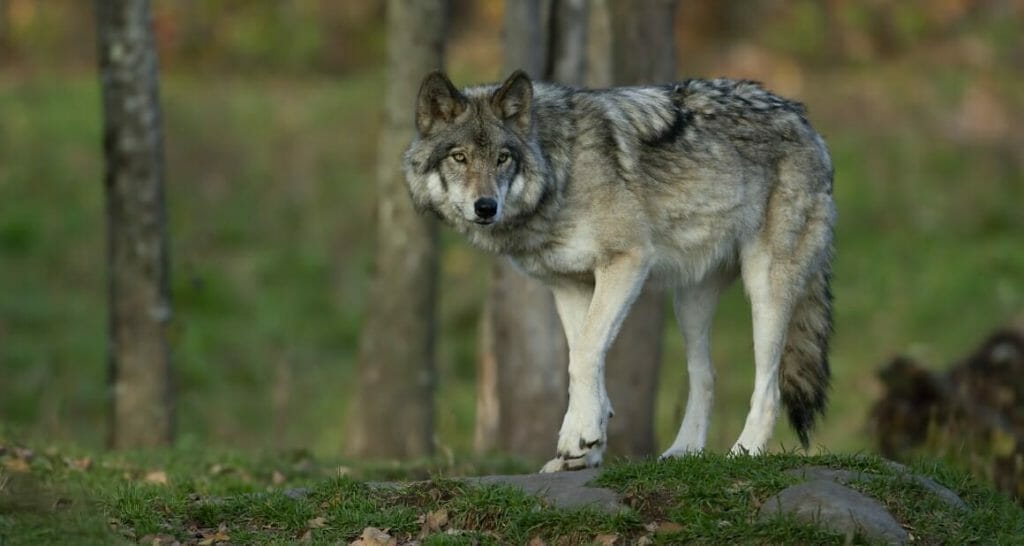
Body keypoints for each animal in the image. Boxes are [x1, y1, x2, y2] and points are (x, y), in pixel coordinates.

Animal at [403, 68, 835, 471]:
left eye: (502, 158)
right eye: (459, 157)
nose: (486, 207)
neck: (561, 171)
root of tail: (804, 119)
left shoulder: (628, 262)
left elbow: (584, 355)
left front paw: (577, 436)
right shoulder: (570, 285)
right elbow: (584, 357)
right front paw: (585, 447)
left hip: (765, 290)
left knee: (768, 387)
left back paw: (744, 453)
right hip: (689, 303)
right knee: (706, 377)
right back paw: (683, 453)